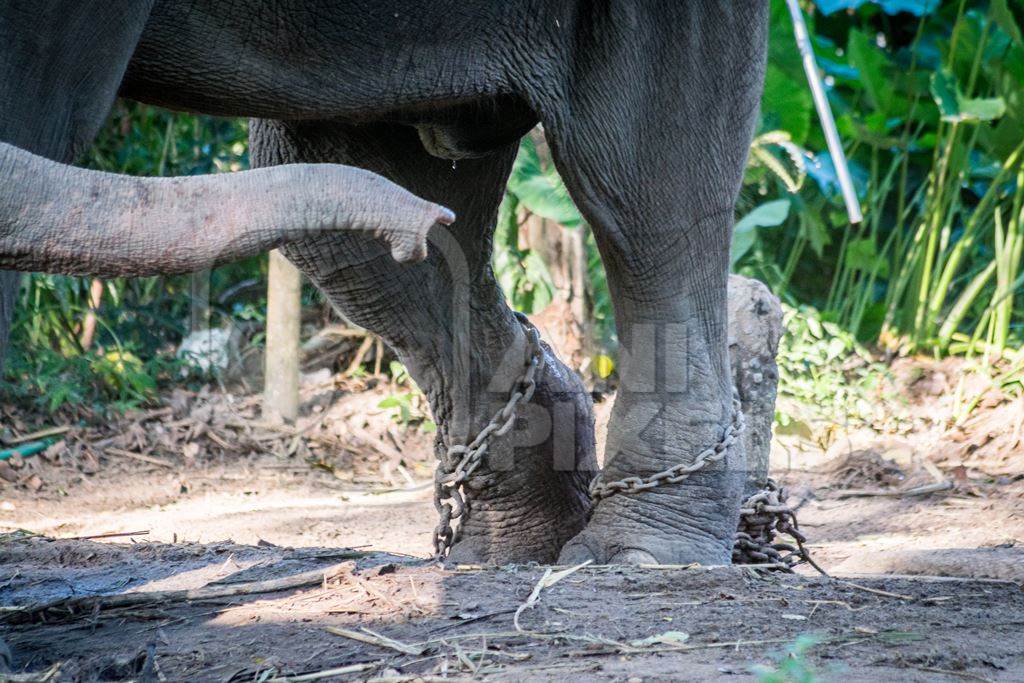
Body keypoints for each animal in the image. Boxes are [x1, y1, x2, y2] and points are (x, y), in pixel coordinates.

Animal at [0, 0, 770, 569]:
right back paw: (507, 543)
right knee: (346, 169)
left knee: (640, 193)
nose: (419, 225)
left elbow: (35, 108)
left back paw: (636, 552)